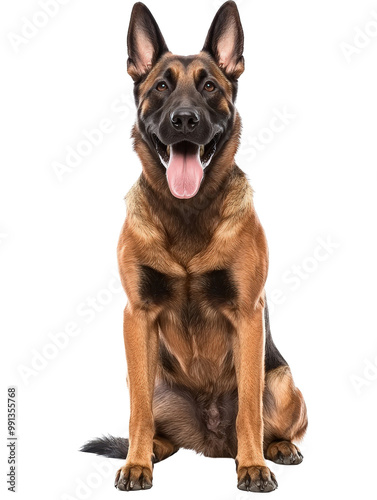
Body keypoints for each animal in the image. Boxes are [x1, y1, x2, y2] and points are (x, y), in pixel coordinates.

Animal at [81, 0, 306, 492]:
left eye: (209, 87)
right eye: (162, 87)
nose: (185, 120)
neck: (187, 214)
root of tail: (210, 442)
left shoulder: (247, 315)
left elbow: (249, 410)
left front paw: (253, 466)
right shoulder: (137, 315)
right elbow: (138, 413)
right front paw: (137, 464)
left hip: (283, 384)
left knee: (270, 420)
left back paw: (276, 448)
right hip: (151, 381)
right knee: (147, 417)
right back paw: (149, 450)